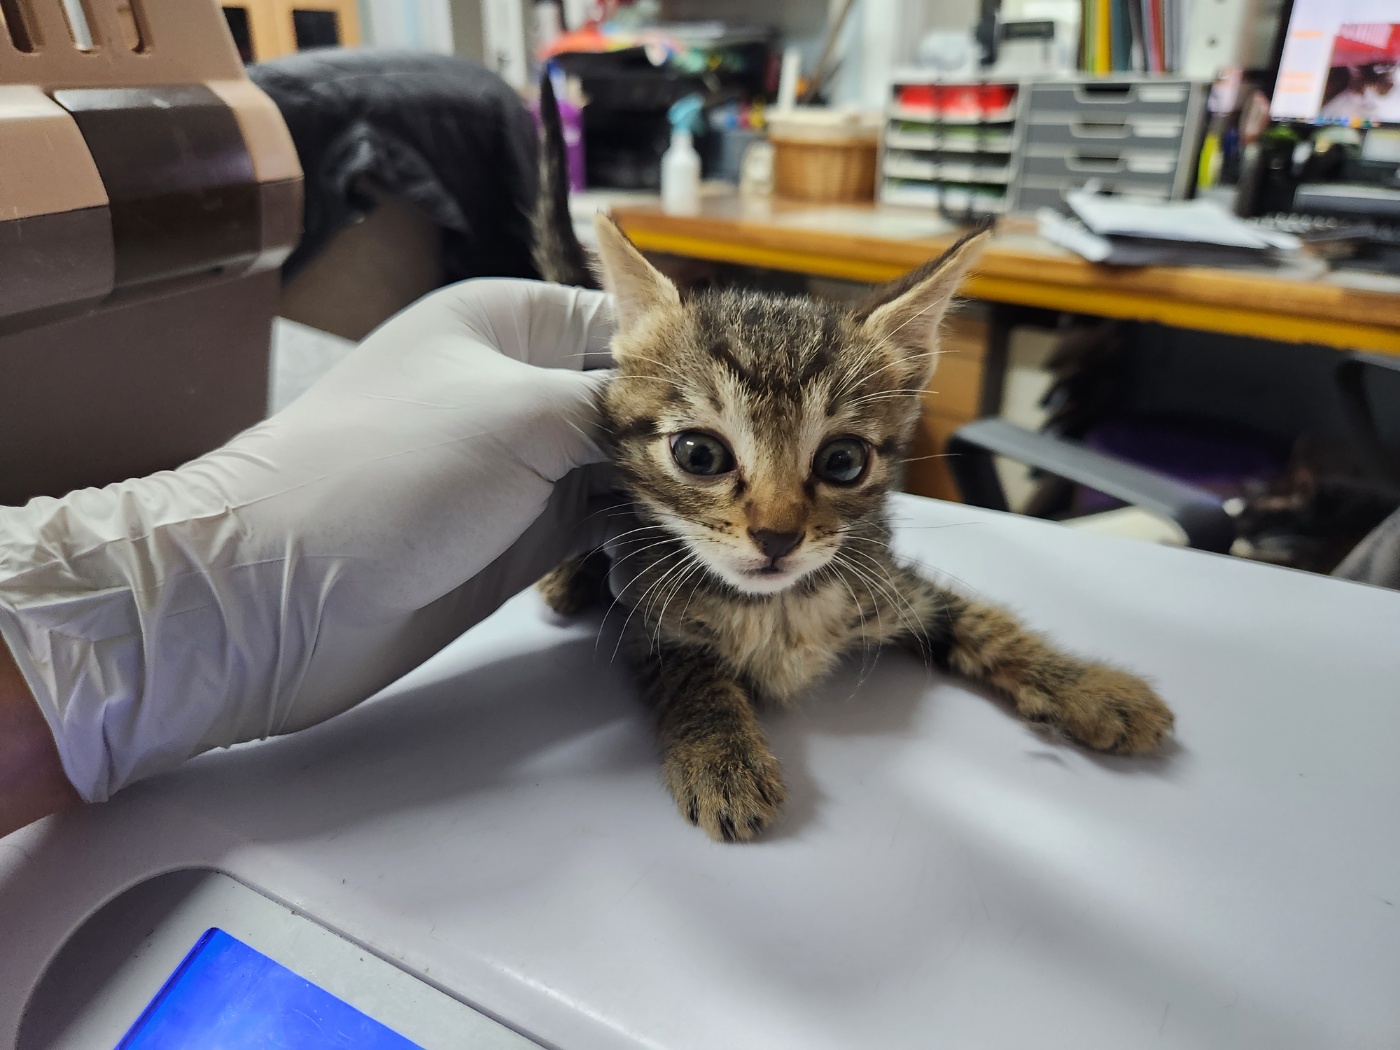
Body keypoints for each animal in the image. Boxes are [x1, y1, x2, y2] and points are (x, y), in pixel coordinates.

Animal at [534, 215, 1170, 845]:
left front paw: (1090, 688)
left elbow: (987, 622)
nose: (777, 537)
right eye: (698, 454)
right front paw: (722, 759)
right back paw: (566, 578)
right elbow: (688, 673)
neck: (777, 607)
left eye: (842, 462)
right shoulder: (646, 613)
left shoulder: (895, 582)